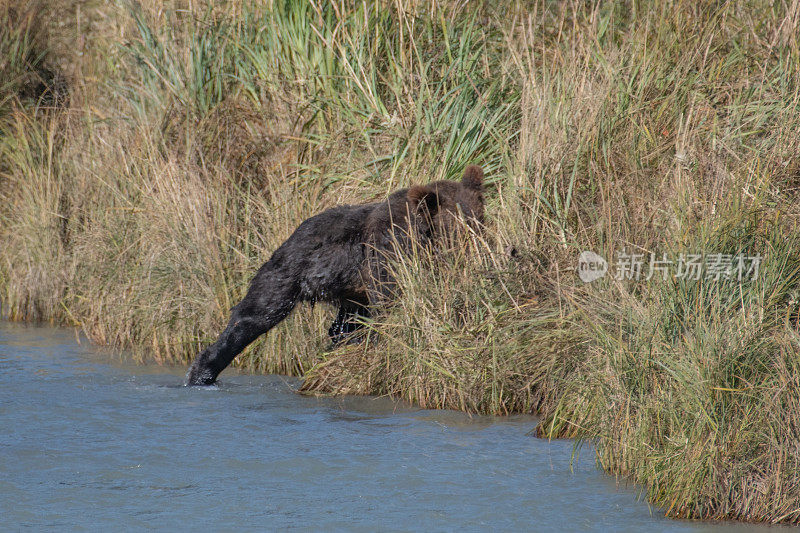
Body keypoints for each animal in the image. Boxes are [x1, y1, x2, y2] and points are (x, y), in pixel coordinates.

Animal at [185, 164, 484, 384]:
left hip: (349, 292)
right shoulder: (390, 254)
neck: (421, 237)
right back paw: (202, 372)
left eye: (479, 219)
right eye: (459, 225)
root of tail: (291, 234)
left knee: (344, 323)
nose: (479, 247)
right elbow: (391, 304)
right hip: (289, 273)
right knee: (255, 314)